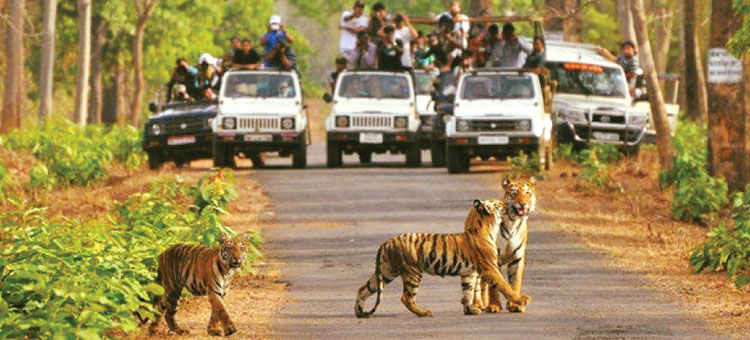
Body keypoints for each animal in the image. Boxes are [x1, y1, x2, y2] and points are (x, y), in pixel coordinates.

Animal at [356, 198, 532, 318]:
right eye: (499, 204)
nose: (507, 202)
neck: (487, 227)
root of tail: (387, 242)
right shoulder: (490, 269)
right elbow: (505, 286)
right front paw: (521, 300)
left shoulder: (469, 273)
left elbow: (467, 293)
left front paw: (470, 310)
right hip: (412, 272)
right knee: (406, 297)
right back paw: (424, 313)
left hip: (387, 271)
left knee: (364, 288)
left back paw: (359, 312)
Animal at [472, 177, 536, 314]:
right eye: (514, 193)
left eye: (527, 193)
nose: (523, 204)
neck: (513, 221)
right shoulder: (492, 259)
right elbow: (494, 286)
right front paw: (494, 305)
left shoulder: (517, 258)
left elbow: (515, 282)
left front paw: (515, 305)